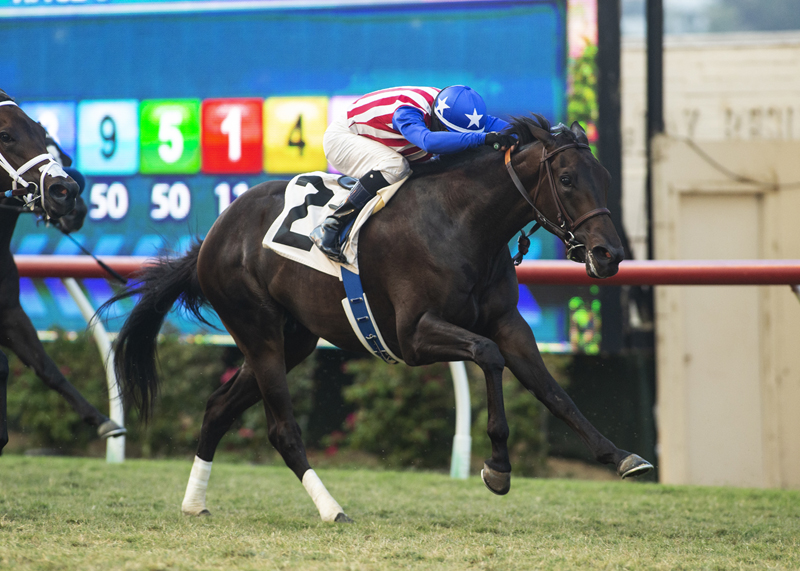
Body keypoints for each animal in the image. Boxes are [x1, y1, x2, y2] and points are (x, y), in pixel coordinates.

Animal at [0, 89, 125, 454]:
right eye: (5, 136)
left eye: (43, 136)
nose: (68, 195)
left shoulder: (10, 311)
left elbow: (46, 367)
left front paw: (104, 421)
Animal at [108, 115, 656, 524]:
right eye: (566, 179)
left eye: (606, 179)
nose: (609, 255)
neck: (461, 221)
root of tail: (214, 235)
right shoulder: (414, 335)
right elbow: (488, 356)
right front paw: (497, 466)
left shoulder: (508, 323)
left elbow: (552, 392)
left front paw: (621, 457)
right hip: (257, 331)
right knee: (282, 429)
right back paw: (331, 509)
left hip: (293, 340)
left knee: (218, 407)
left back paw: (194, 503)